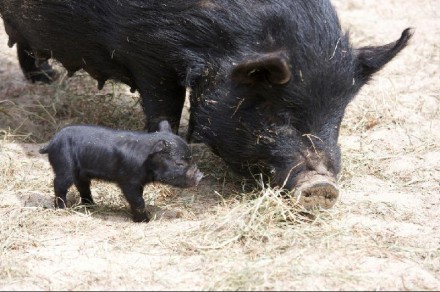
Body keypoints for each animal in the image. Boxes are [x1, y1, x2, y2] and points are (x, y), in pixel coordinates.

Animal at [0, 1, 412, 209]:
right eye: (278, 113)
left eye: (339, 117)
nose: (323, 186)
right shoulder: (147, 54)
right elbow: (163, 108)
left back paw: (45, 79)